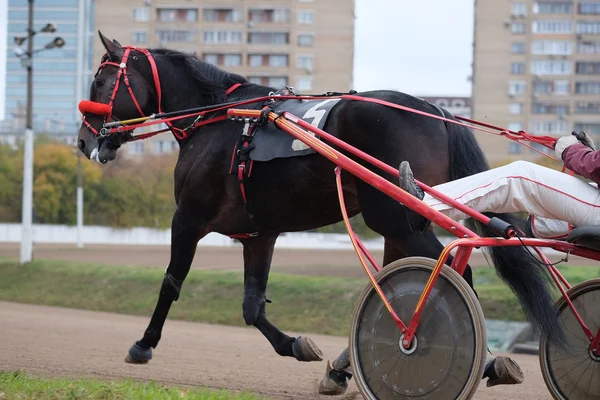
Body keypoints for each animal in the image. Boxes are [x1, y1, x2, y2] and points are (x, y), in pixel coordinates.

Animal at [78, 32, 564, 392]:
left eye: (99, 82)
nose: (84, 141)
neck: (222, 119)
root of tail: (433, 109)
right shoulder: (259, 234)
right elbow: (252, 306)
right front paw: (298, 346)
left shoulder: (188, 218)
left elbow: (171, 283)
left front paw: (143, 344)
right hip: (395, 225)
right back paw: (344, 366)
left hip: (395, 217)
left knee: (449, 273)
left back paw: (466, 357)